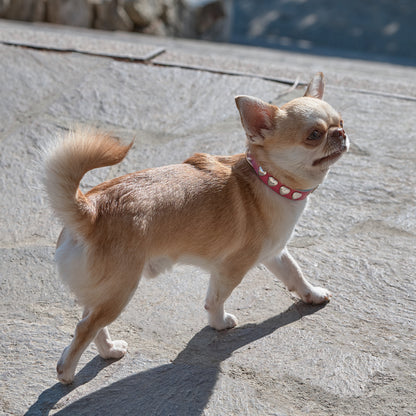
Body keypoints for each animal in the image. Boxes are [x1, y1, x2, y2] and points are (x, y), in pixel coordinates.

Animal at [43, 72, 348, 384]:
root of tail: (91, 210)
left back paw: (108, 350)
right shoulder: (230, 269)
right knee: (84, 328)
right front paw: (219, 324)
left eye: (341, 122)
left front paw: (312, 294)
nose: (340, 133)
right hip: (120, 291)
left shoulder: (275, 253)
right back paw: (66, 373)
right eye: (314, 135)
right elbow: (215, 299)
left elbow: (295, 274)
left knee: (90, 322)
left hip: (103, 293)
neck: (267, 180)